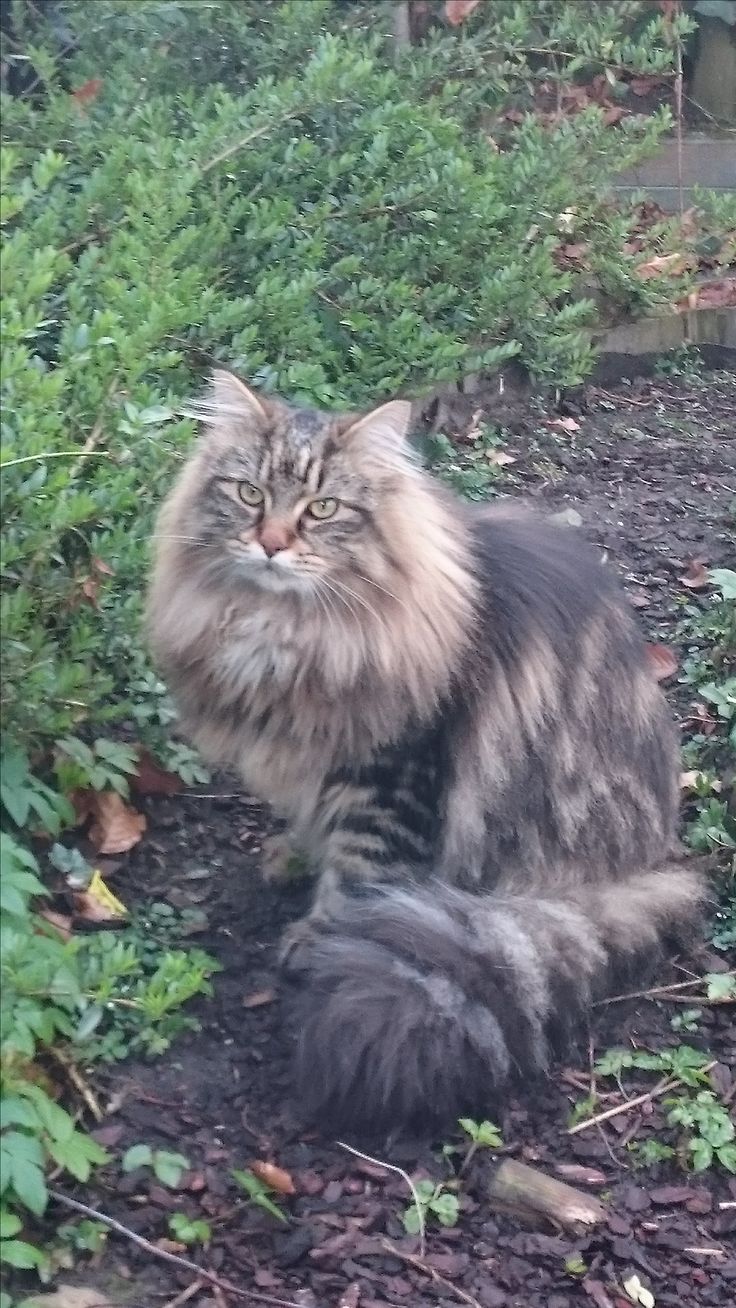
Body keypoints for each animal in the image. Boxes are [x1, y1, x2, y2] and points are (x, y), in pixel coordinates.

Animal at [147, 371, 705, 1135]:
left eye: (323, 509)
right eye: (250, 494)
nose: (271, 544)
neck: (287, 633)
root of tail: (652, 865)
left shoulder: (389, 772)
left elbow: (357, 873)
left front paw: (322, 941)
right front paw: (293, 854)